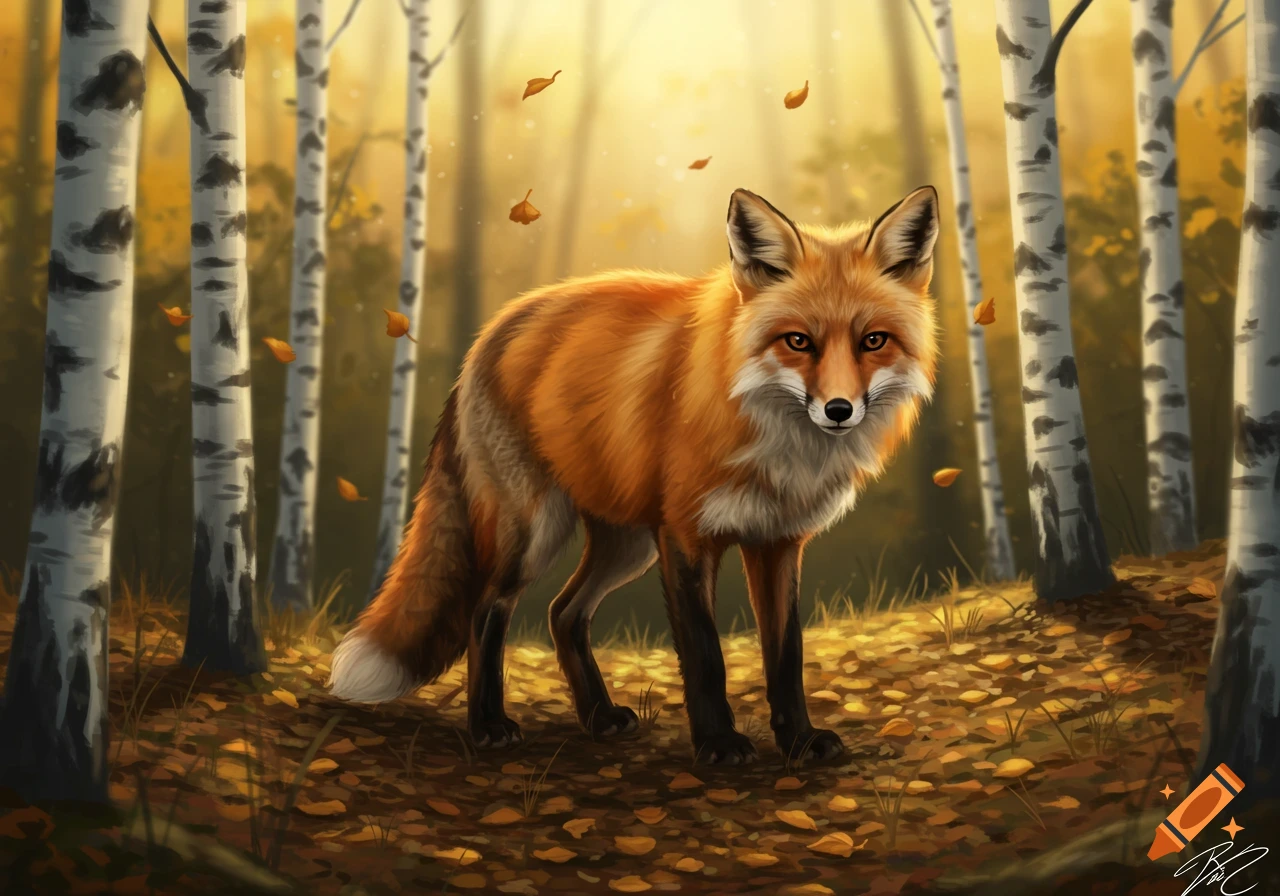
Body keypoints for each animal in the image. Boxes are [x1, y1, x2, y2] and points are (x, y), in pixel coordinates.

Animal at [328, 185, 940, 765]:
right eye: (797, 341)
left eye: (873, 341)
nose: (838, 410)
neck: (776, 446)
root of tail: (493, 331)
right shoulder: (686, 536)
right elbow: (705, 654)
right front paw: (718, 745)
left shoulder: (778, 542)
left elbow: (786, 657)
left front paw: (799, 742)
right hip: (537, 532)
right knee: (486, 611)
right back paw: (488, 727)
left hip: (627, 545)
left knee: (563, 613)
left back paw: (597, 717)